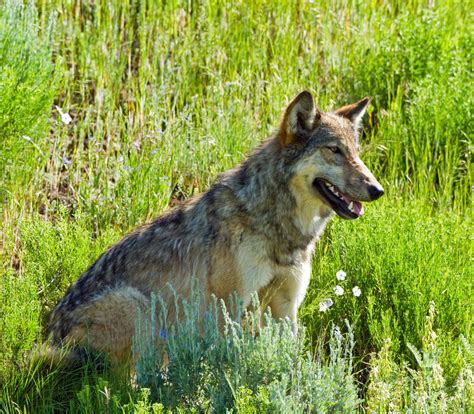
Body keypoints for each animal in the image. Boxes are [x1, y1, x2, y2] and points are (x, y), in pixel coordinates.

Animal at [46, 90, 384, 366]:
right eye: (334, 150)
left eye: (356, 152)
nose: (377, 189)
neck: (272, 224)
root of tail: (50, 338)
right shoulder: (228, 306)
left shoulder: (285, 307)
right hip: (138, 306)